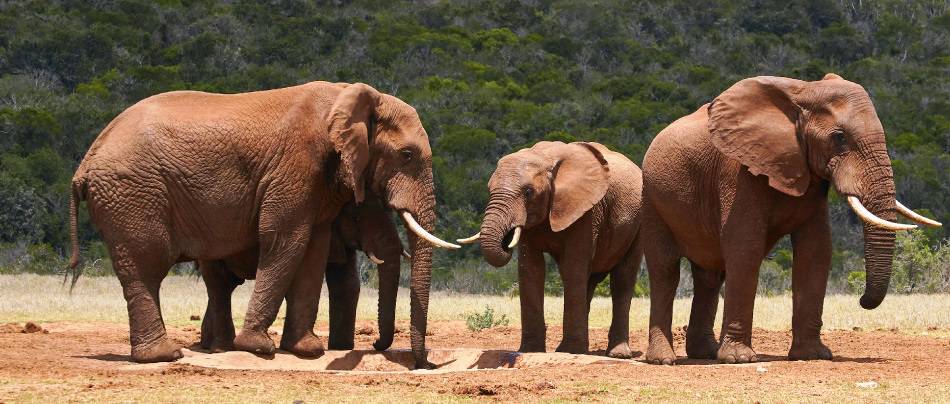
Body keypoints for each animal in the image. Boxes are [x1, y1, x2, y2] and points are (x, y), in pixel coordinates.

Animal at [199, 197, 408, 352]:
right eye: (356, 219)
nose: (375, 343)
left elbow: (347, 284)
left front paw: (341, 348)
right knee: (220, 283)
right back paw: (218, 348)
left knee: (226, 285)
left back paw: (207, 344)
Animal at [462, 140, 648, 358]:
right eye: (489, 189)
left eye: (528, 192)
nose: (506, 240)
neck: (544, 158)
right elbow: (531, 269)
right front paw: (531, 351)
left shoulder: (586, 210)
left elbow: (572, 267)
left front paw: (571, 351)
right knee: (589, 281)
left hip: (639, 222)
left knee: (622, 278)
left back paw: (617, 354)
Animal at [644, 73, 940, 366]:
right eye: (840, 137)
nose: (862, 300)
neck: (802, 93)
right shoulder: (738, 172)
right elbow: (745, 247)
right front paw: (739, 359)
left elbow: (816, 250)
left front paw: (812, 355)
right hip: (653, 200)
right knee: (665, 272)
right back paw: (664, 359)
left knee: (709, 276)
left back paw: (705, 353)